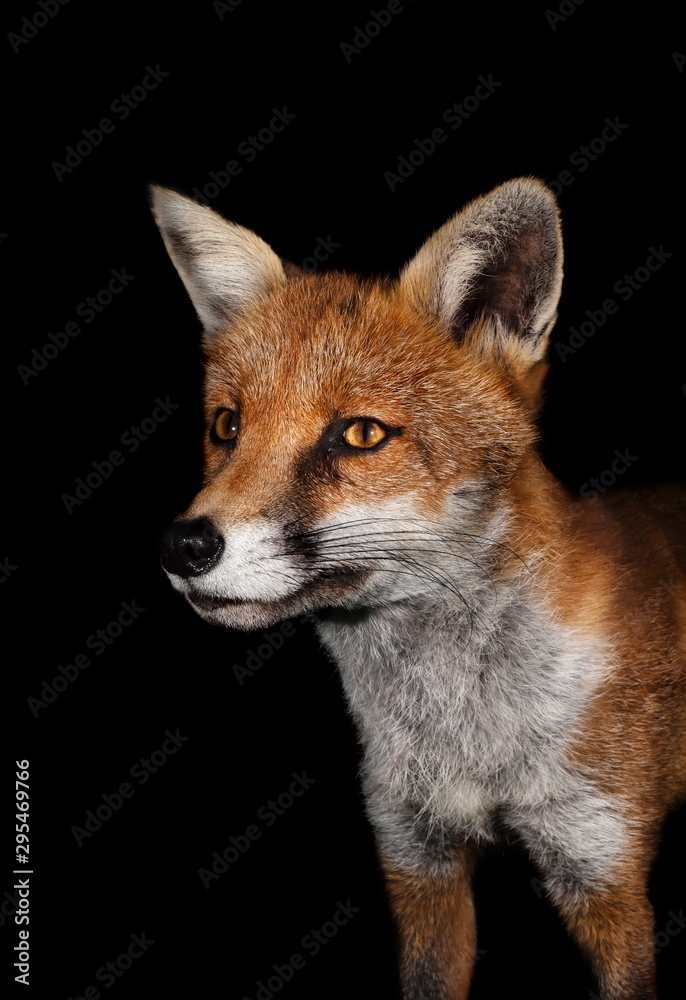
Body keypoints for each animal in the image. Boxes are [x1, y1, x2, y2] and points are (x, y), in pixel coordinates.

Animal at [151, 177, 686, 999]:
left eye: (361, 435)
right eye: (227, 426)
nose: (184, 545)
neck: (464, 739)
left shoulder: (603, 869)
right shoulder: (418, 861)